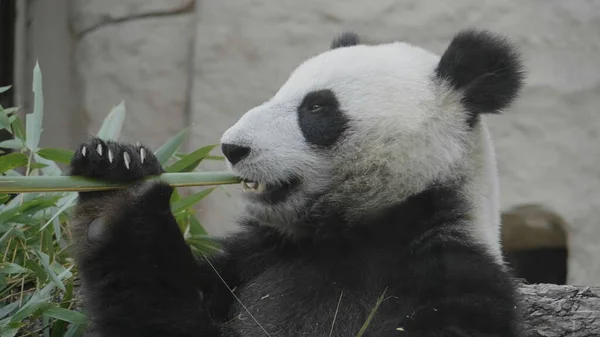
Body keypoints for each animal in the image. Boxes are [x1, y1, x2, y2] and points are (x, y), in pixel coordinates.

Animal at [70, 29, 524, 336]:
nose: (232, 147)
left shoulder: (447, 277)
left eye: (317, 108)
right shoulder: (251, 262)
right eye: (277, 94)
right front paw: (117, 183)